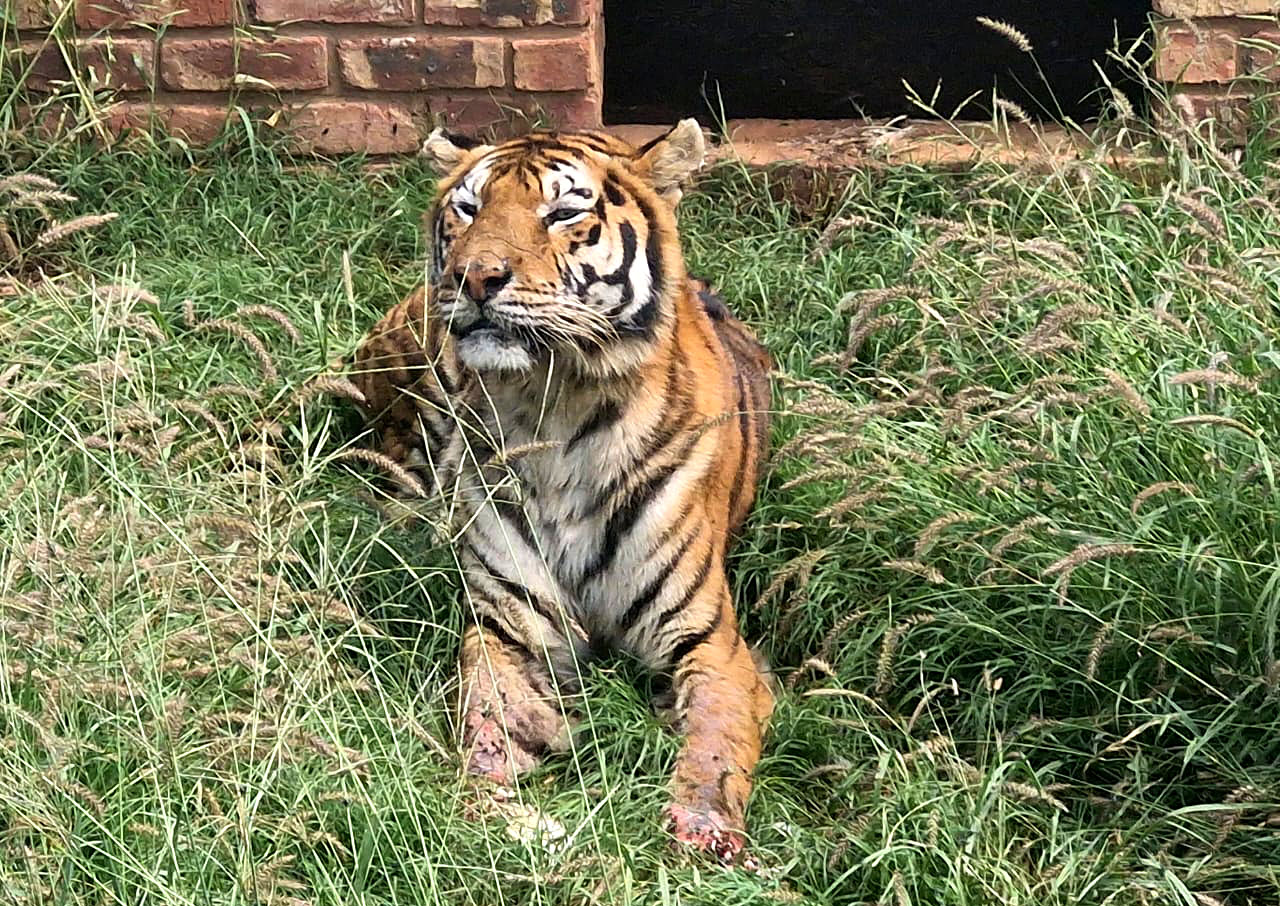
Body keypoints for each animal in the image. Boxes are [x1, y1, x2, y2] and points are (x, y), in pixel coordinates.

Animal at [350, 120, 775, 864]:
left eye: (564, 212)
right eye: (468, 209)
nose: (474, 276)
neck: (558, 410)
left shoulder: (709, 642)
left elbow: (714, 740)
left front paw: (703, 836)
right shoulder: (510, 628)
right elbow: (490, 720)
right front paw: (497, 813)